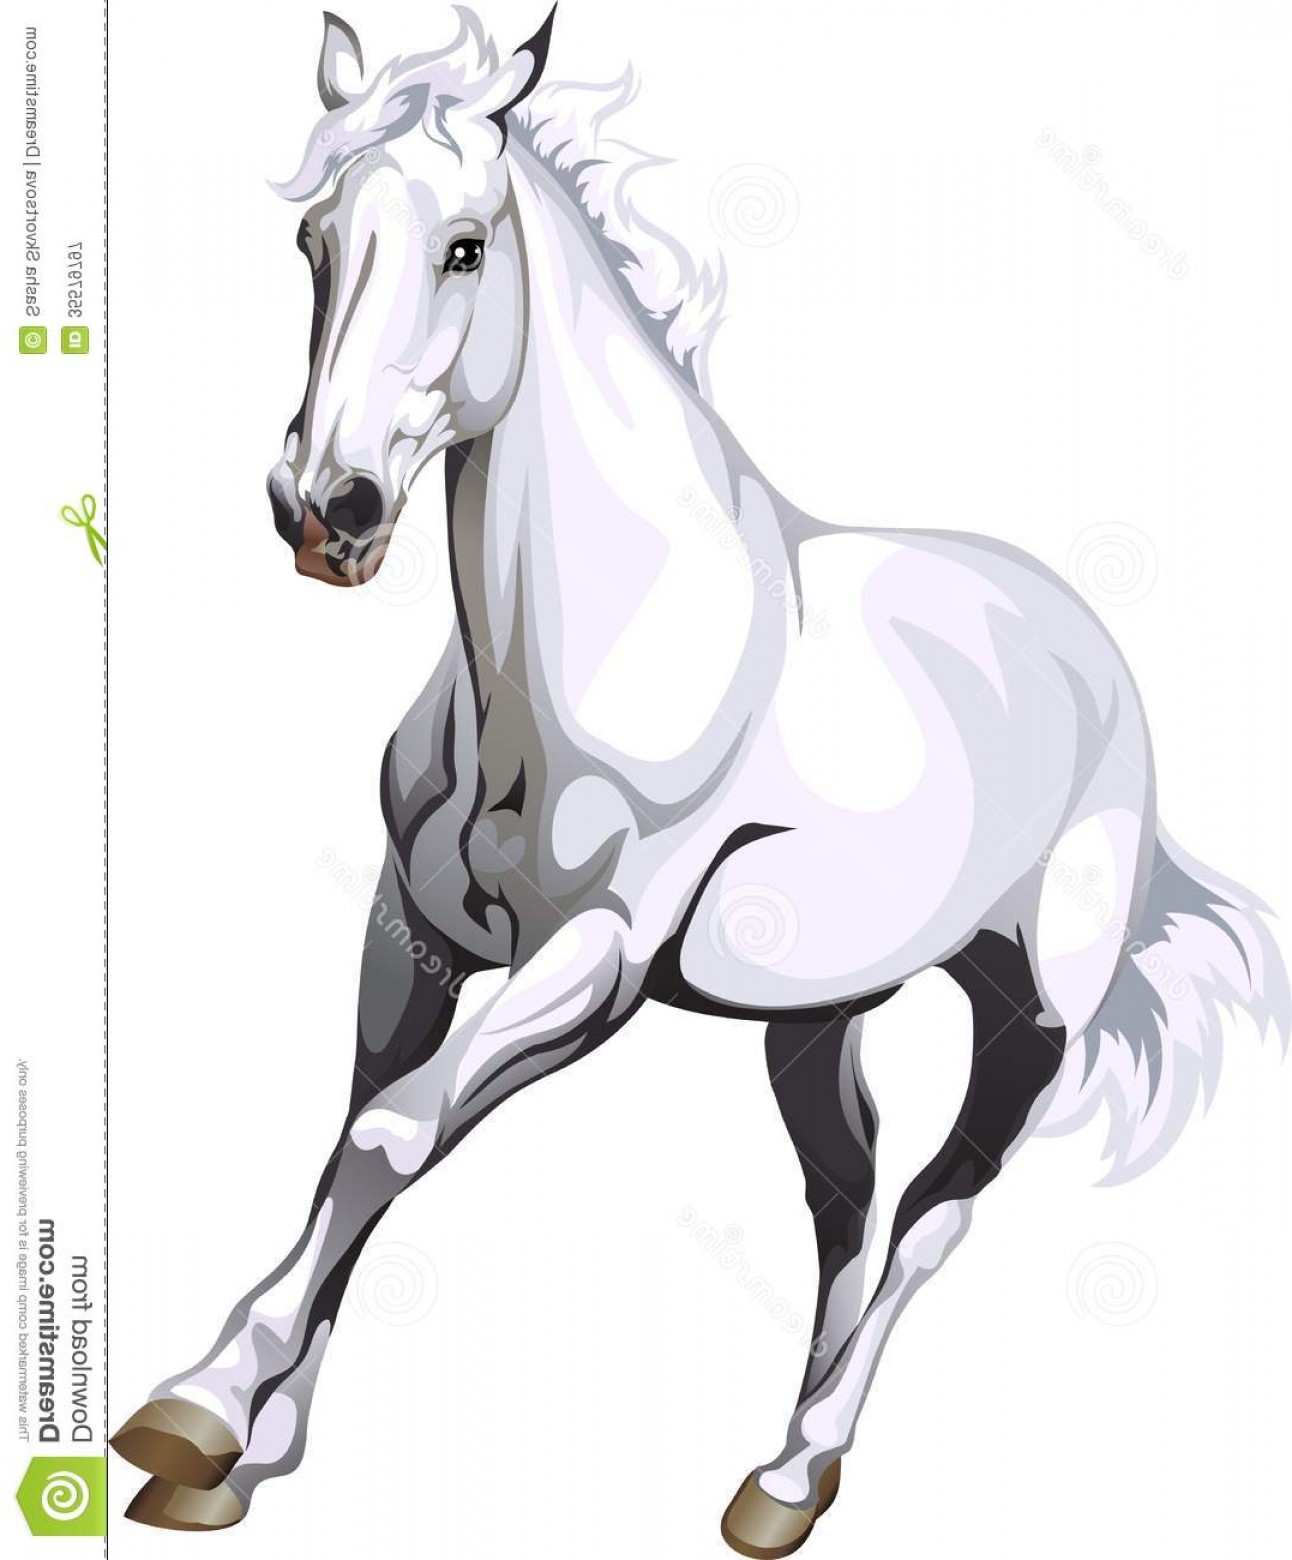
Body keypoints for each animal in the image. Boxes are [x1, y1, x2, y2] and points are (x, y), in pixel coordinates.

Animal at [111, 10, 1288, 1553]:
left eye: (467, 247)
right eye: (313, 239)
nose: (327, 512)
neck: (579, 647)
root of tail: (1090, 655)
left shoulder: (597, 962)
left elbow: (392, 1130)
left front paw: (197, 1414)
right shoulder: (411, 935)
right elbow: (358, 1131)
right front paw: (240, 1451)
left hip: (1030, 1015)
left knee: (934, 1213)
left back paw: (796, 1470)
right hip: (815, 1015)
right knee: (847, 1191)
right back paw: (785, 1479)